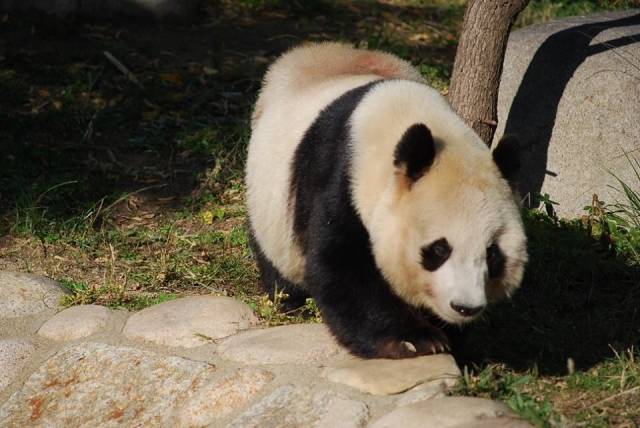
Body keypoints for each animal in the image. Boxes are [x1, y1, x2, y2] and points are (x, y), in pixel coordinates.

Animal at [248, 42, 528, 358]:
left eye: (492, 253)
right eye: (439, 249)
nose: (465, 307)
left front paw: (449, 338)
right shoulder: (340, 179)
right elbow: (340, 265)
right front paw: (416, 339)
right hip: (269, 199)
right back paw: (288, 300)